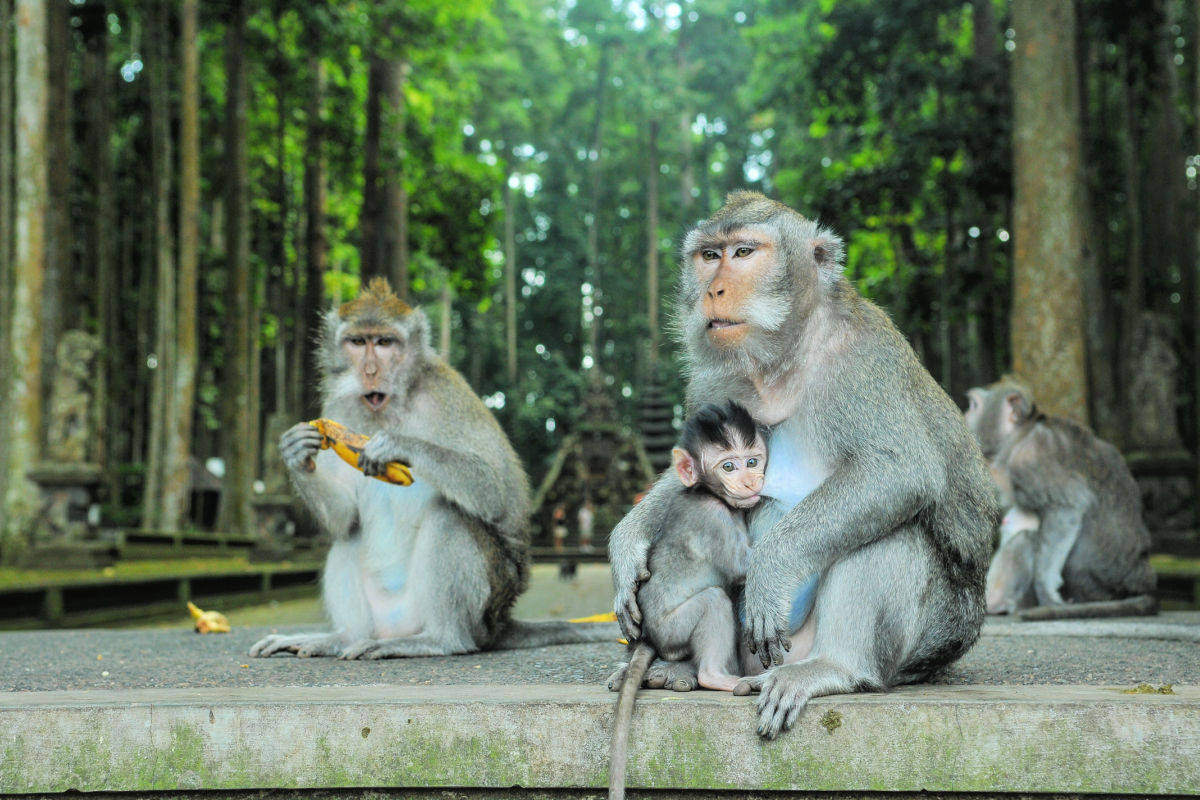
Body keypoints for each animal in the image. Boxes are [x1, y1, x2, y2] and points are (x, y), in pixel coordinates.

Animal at [250, 278, 618, 659]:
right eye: (358, 342)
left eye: (385, 343)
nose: (369, 372)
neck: (391, 408)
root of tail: (500, 622)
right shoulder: (337, 409)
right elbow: (344, 517)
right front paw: (295, 452)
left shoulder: (448, 393)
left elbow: (495, 492)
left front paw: (397, 444)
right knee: (348, 536)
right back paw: (342, 638)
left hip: (485, 604)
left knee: (450, 514)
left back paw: (440, 639)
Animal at [607, 400, 765, 800]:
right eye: (728, 466)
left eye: (752, 460)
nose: (750, 481)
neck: (707, 493)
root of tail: (650, 635)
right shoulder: (716, 520)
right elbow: (742, 568)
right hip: (673, 630)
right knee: (712, 600)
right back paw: (716, 677)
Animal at [608, 191, 996, 740]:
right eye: (709, 255)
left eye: (744, 252)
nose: (714, 289)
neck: (782, 358)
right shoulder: (713, 378)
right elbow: (688, 473)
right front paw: (627, 544)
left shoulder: (863, 357)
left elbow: (899, 471)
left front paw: (771, 566)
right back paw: (674, 668)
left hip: (930, 638)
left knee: (891, 531)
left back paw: (835, 667)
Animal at [964, 377, 1157, 620]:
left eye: (973, 406)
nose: (962, 415)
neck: (1022, 435)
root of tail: (1139, 583)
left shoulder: (1031, 461)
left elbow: (1067, 508)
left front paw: (1046, 589)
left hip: (1089, 588)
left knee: (1026, 539)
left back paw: (996, 604)